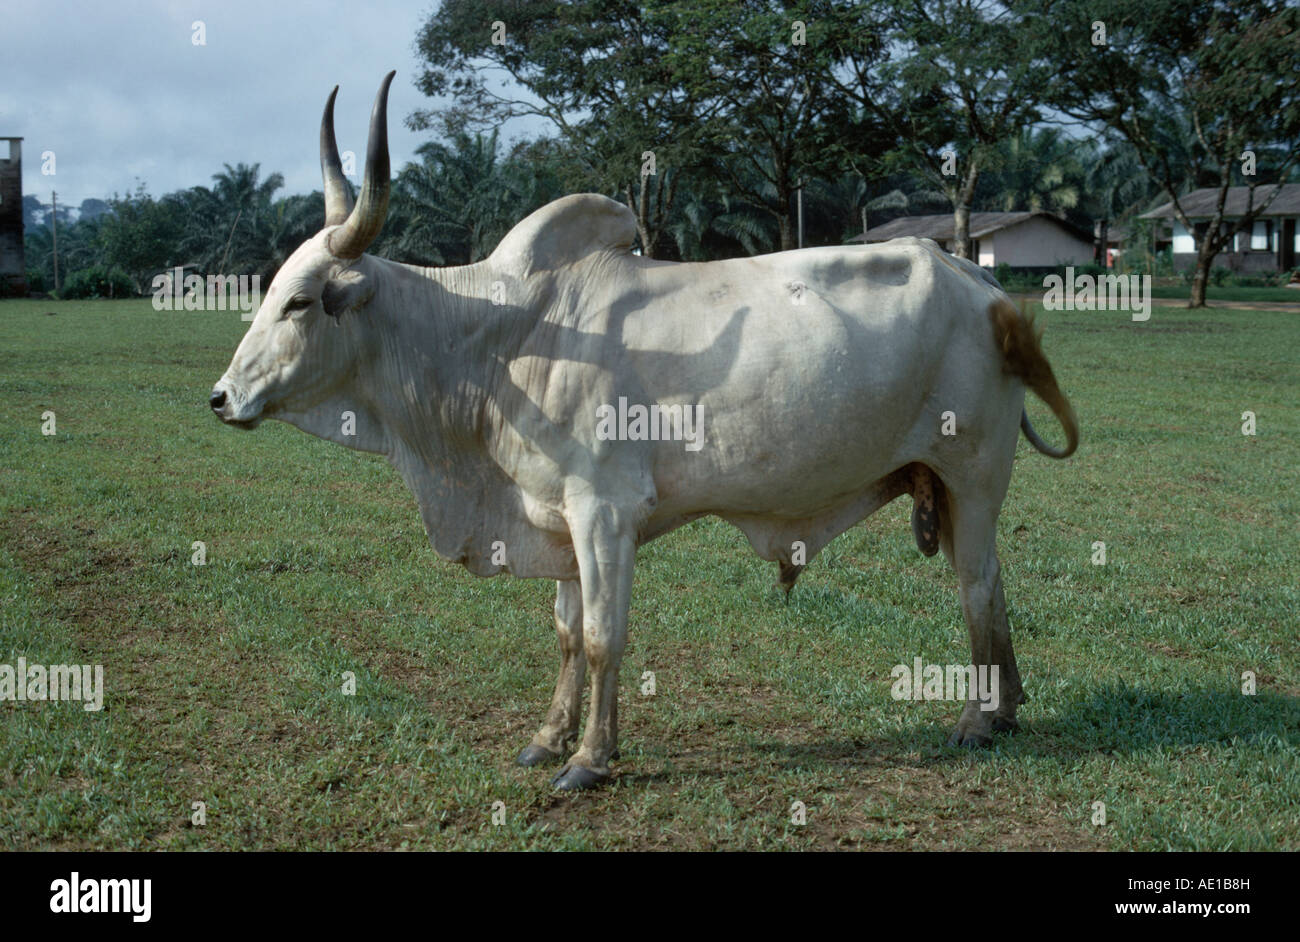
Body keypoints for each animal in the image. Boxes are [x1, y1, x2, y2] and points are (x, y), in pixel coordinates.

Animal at [210, 73, 1079, 790]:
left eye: (300, 302)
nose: (222, 398)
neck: (495, 339)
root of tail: (982, 286)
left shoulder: (604, 511)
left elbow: (602, 638)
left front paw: (592, 759)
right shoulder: (557, 516)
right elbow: (566, 633)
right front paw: (547, 739)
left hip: (973, 476)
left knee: (978, 585)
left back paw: (977, 719)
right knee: (991, 583)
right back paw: (1006, 709)